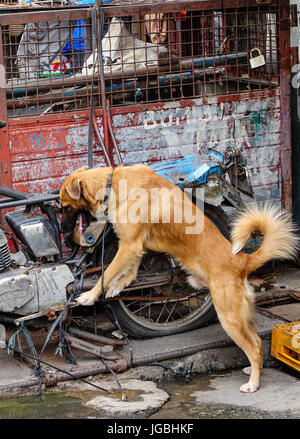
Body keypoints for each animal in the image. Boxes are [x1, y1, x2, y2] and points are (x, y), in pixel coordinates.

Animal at [59, 163, 298, 394]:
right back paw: (252, 369)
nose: (64, 235)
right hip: (239, 315)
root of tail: (242, 261)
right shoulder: (134, 247)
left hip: (229, 317)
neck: (112, 183)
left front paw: (89, 296)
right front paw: (117, 288)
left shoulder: (129, 245)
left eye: (63, 205)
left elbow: (106, 274)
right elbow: (130, 272)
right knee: (257, 342)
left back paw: (253, 383)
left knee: (254, 347)